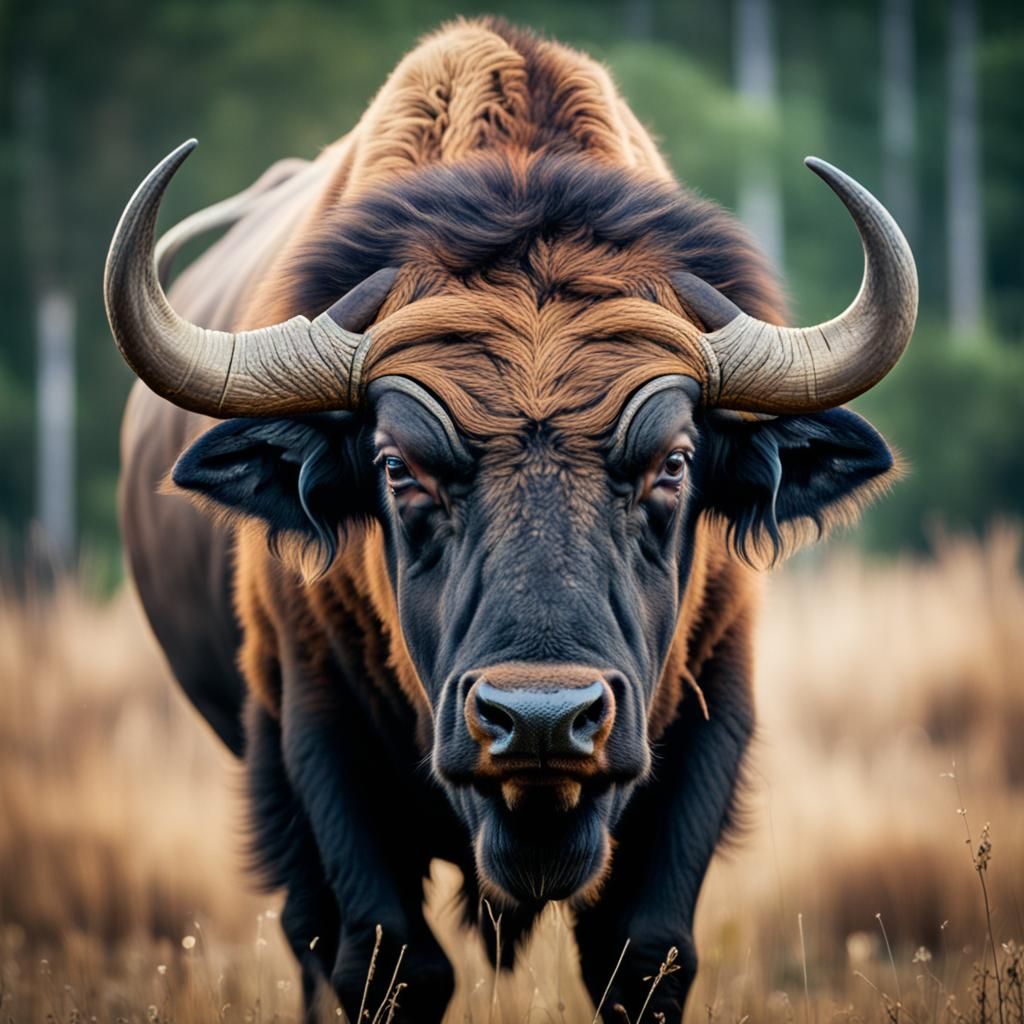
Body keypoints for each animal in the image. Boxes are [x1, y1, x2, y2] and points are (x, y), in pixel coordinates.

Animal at [106, 19, 916, 1023]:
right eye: (397, 468)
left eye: (674, 462)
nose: (540, 720)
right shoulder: (315, 740)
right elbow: (387, 963)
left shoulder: (707, 728)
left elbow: (646, 956)